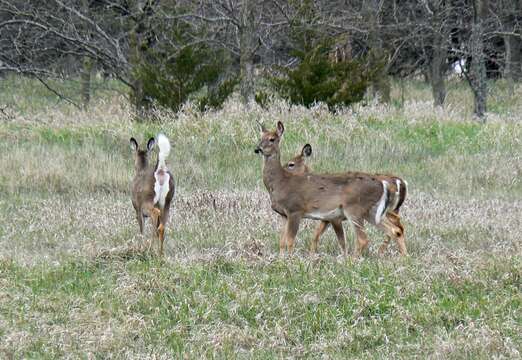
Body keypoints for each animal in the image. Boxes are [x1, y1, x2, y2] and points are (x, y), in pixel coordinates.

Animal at [254, 122, 404, 258]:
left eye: (272, 139)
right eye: (260, 137)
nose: (257, 149)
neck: (281, 182)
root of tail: (382, 184)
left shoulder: (295, 210)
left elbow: (290, 241)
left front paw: (290, 261)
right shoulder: (283, 214)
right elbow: (281, 242)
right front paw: (281, 260)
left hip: (354, 208)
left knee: (363, 239)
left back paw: (353, 261)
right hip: (371, 211)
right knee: (394, 230)